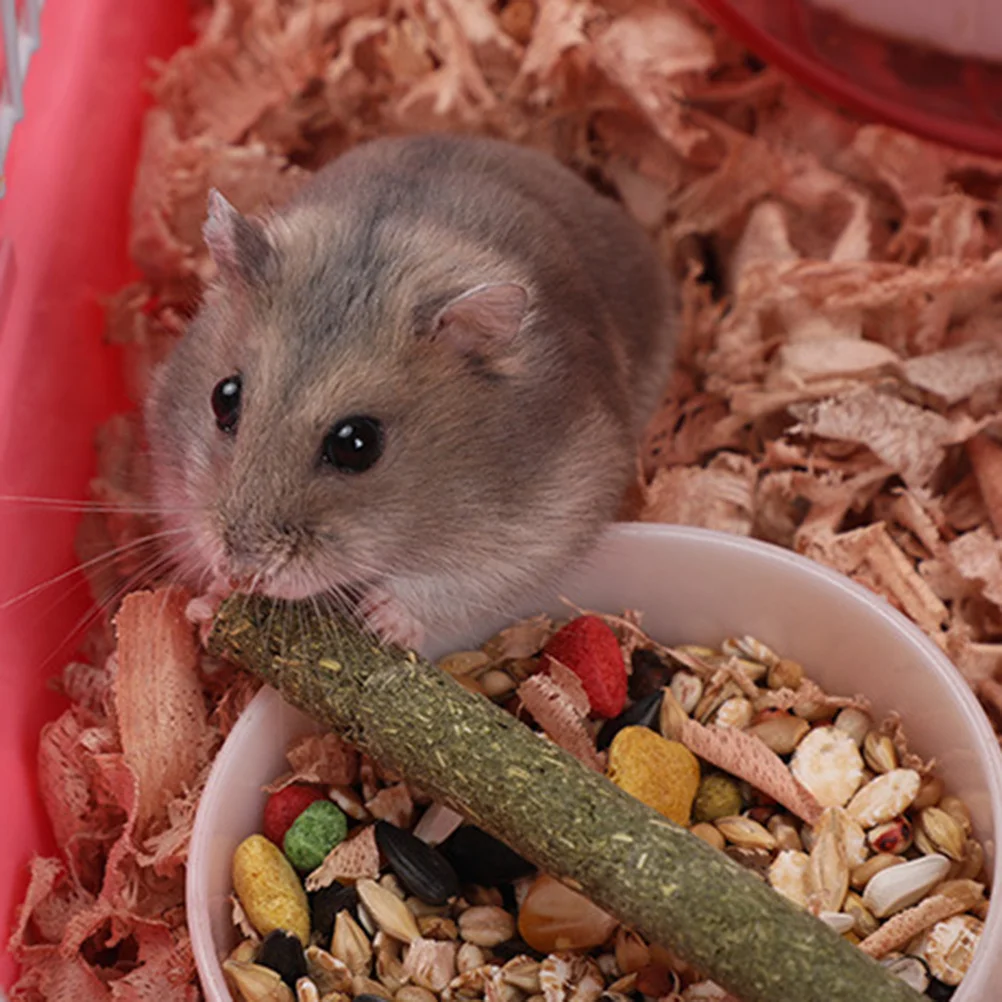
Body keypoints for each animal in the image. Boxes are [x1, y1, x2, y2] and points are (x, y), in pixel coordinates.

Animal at [145, 134, 676, 649]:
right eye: (223, 397)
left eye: (356, 444)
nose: (242, 571)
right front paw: (209, 603)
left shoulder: (543, 519)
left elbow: (449, 585)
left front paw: (381, 619)